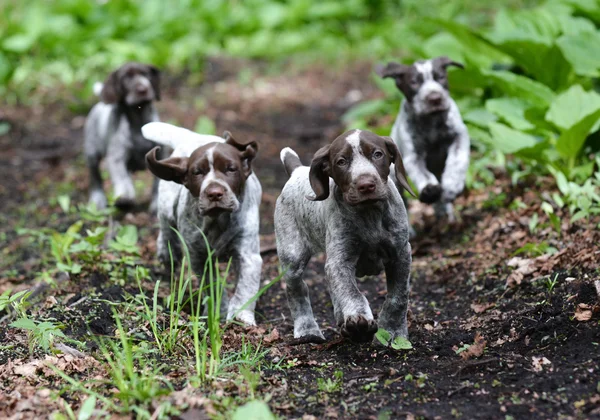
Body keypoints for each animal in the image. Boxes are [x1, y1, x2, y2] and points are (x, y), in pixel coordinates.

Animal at [84, 61, 163, 210]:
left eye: (146, 74)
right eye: (126, 77)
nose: (143, 89)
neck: (138, 121)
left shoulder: (161, 155)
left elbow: (158, 181)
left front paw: (157, 202)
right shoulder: (116, 158)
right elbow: (122, 178)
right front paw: (125, 197)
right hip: (92, 154)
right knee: (95, 177)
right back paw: (98, 198)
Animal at [142, 121, 264, 324]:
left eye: (231, 169)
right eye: (197, 173)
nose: (214, 193)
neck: (217, 221)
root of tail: (193, 136)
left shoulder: (248, 255)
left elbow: (245, 288)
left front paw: (241, 318)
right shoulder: (199, 257)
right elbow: (212, 284)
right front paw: (217, 311)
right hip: (166, 206)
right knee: (166, 230)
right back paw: (166, 251)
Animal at [274, 129, 414, 344]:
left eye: (377, 154)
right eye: (341, 161)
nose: (366, 185)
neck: (369, 213)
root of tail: (297, 170)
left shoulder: (401, 254)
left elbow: (398, 297)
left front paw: (393, 331)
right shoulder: (340, 260)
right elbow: (350, 292)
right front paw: (359, 320)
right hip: (292, 257)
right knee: (297, 290)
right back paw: (307, 329)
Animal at [378, 55, 472, 231]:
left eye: (440, 77)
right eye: (414, 82)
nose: (434, 98)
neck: (431, 123)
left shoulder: (459, 137)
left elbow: (457, 161)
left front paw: (453, 185)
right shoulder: (413, 157)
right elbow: (423, 175)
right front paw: (429, 190)